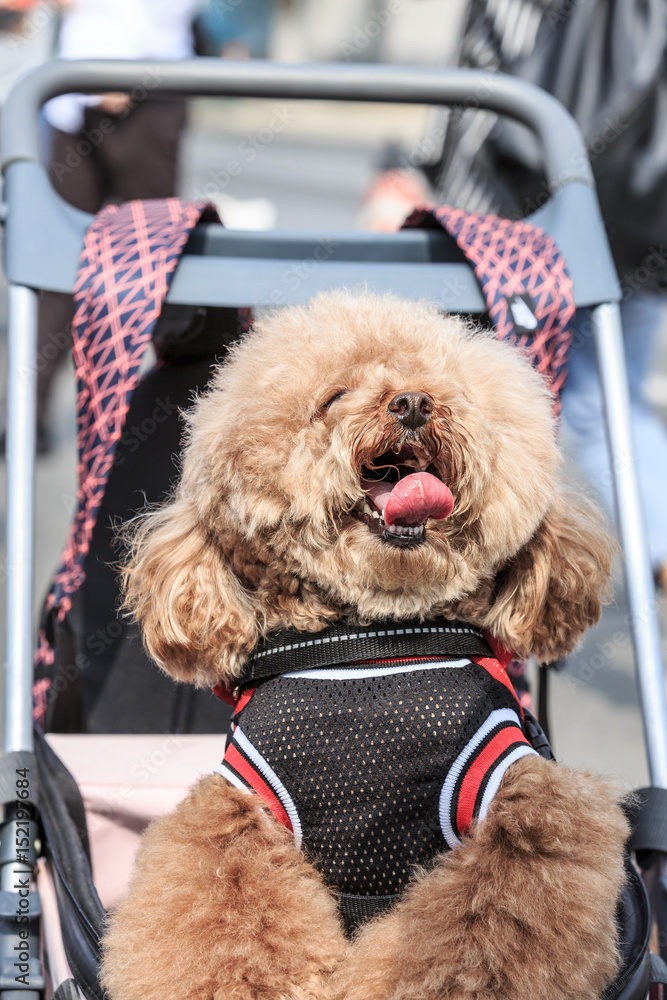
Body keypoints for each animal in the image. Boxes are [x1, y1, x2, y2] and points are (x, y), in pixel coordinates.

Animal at [103, 292, 632, 1000]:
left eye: (447, 391)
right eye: (334, 397)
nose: (411, 403)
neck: (372, 644)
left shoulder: (519, 802)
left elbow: (475, 936)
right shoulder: (240, 809)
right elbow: (227, 925)